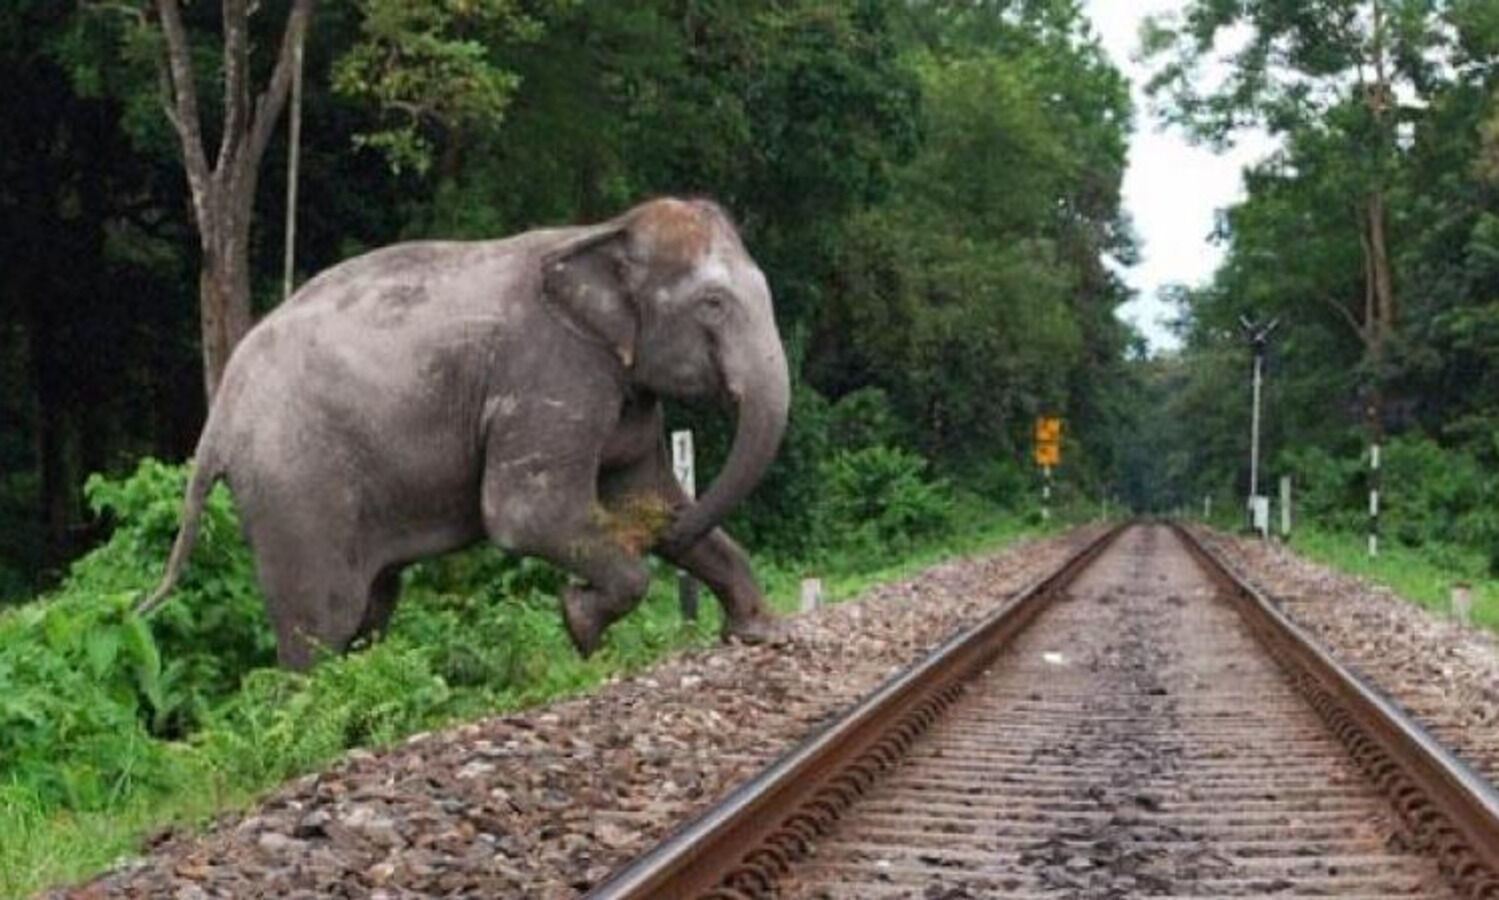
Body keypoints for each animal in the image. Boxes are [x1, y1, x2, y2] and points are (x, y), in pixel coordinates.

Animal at [138, 197, 790, 670]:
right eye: (712, 304)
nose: (664, 533)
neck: (604, 231)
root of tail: (218, 420)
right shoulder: (550, 373)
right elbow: (525, 513)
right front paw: (581, 625)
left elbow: (643, 493)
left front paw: (759, 634)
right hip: (295, 486)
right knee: (325, 620)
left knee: (370, 608)